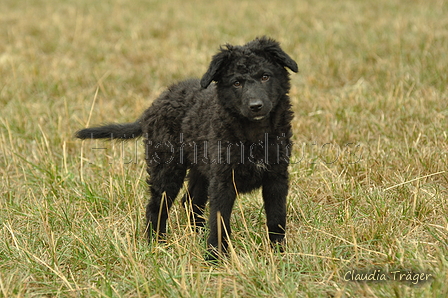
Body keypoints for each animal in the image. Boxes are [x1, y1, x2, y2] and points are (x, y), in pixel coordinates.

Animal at [77, 36, 298, 258]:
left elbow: (276, 218)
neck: (254, 134)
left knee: (191, 202)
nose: (256, 106)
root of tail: (152, 108)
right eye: (237, 83)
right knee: (156, 207)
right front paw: (215, 258)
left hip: (199, 170)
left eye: (265, 77)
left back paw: (195, 236)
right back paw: (156, 244)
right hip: (166, 168)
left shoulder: (276, 177)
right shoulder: (223, 181)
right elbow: (220, 221)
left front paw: (279, 254)